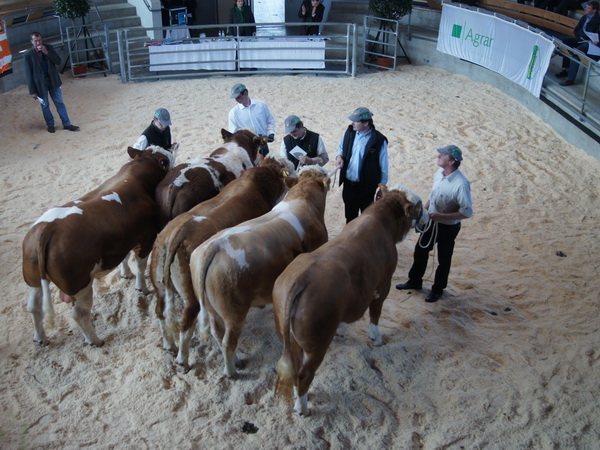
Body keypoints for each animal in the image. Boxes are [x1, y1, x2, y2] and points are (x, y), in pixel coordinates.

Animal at [22, 146, 175, 346]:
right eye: (165, 159)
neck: (137, 178)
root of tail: (47, 229)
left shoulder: (123, 240)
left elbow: (125, 257)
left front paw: (126, 274)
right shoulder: (146, 238)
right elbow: (141, 266)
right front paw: (142, 287)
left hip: (32, 279)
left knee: (34, 307)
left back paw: (41, 338)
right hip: (81, 284)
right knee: (79, 313)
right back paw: (95, 340)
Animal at [149, 155, 294, 370]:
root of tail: (176, 234)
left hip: (159, 286)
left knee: (161, 313)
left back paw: (169, 345)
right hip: (192, 296)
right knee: (186, 325)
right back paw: (185, 360)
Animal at [190, 165, 330, 376]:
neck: (303, 199)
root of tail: (214, 246)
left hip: (213, 309)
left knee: (218, 334)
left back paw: (236, 362)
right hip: (234, 313)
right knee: (228, 342)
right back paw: (232, 372)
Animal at [274, 183, 426, 414]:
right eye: (418, 206)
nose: (428, 213)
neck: (379, 221)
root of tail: (302, 279)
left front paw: (343, 330)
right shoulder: (384, 283)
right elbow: (375, 313)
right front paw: (376, 339)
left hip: (290, 340)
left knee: (294, 370)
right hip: (317, 345)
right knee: (304, 374)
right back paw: (303, 408)